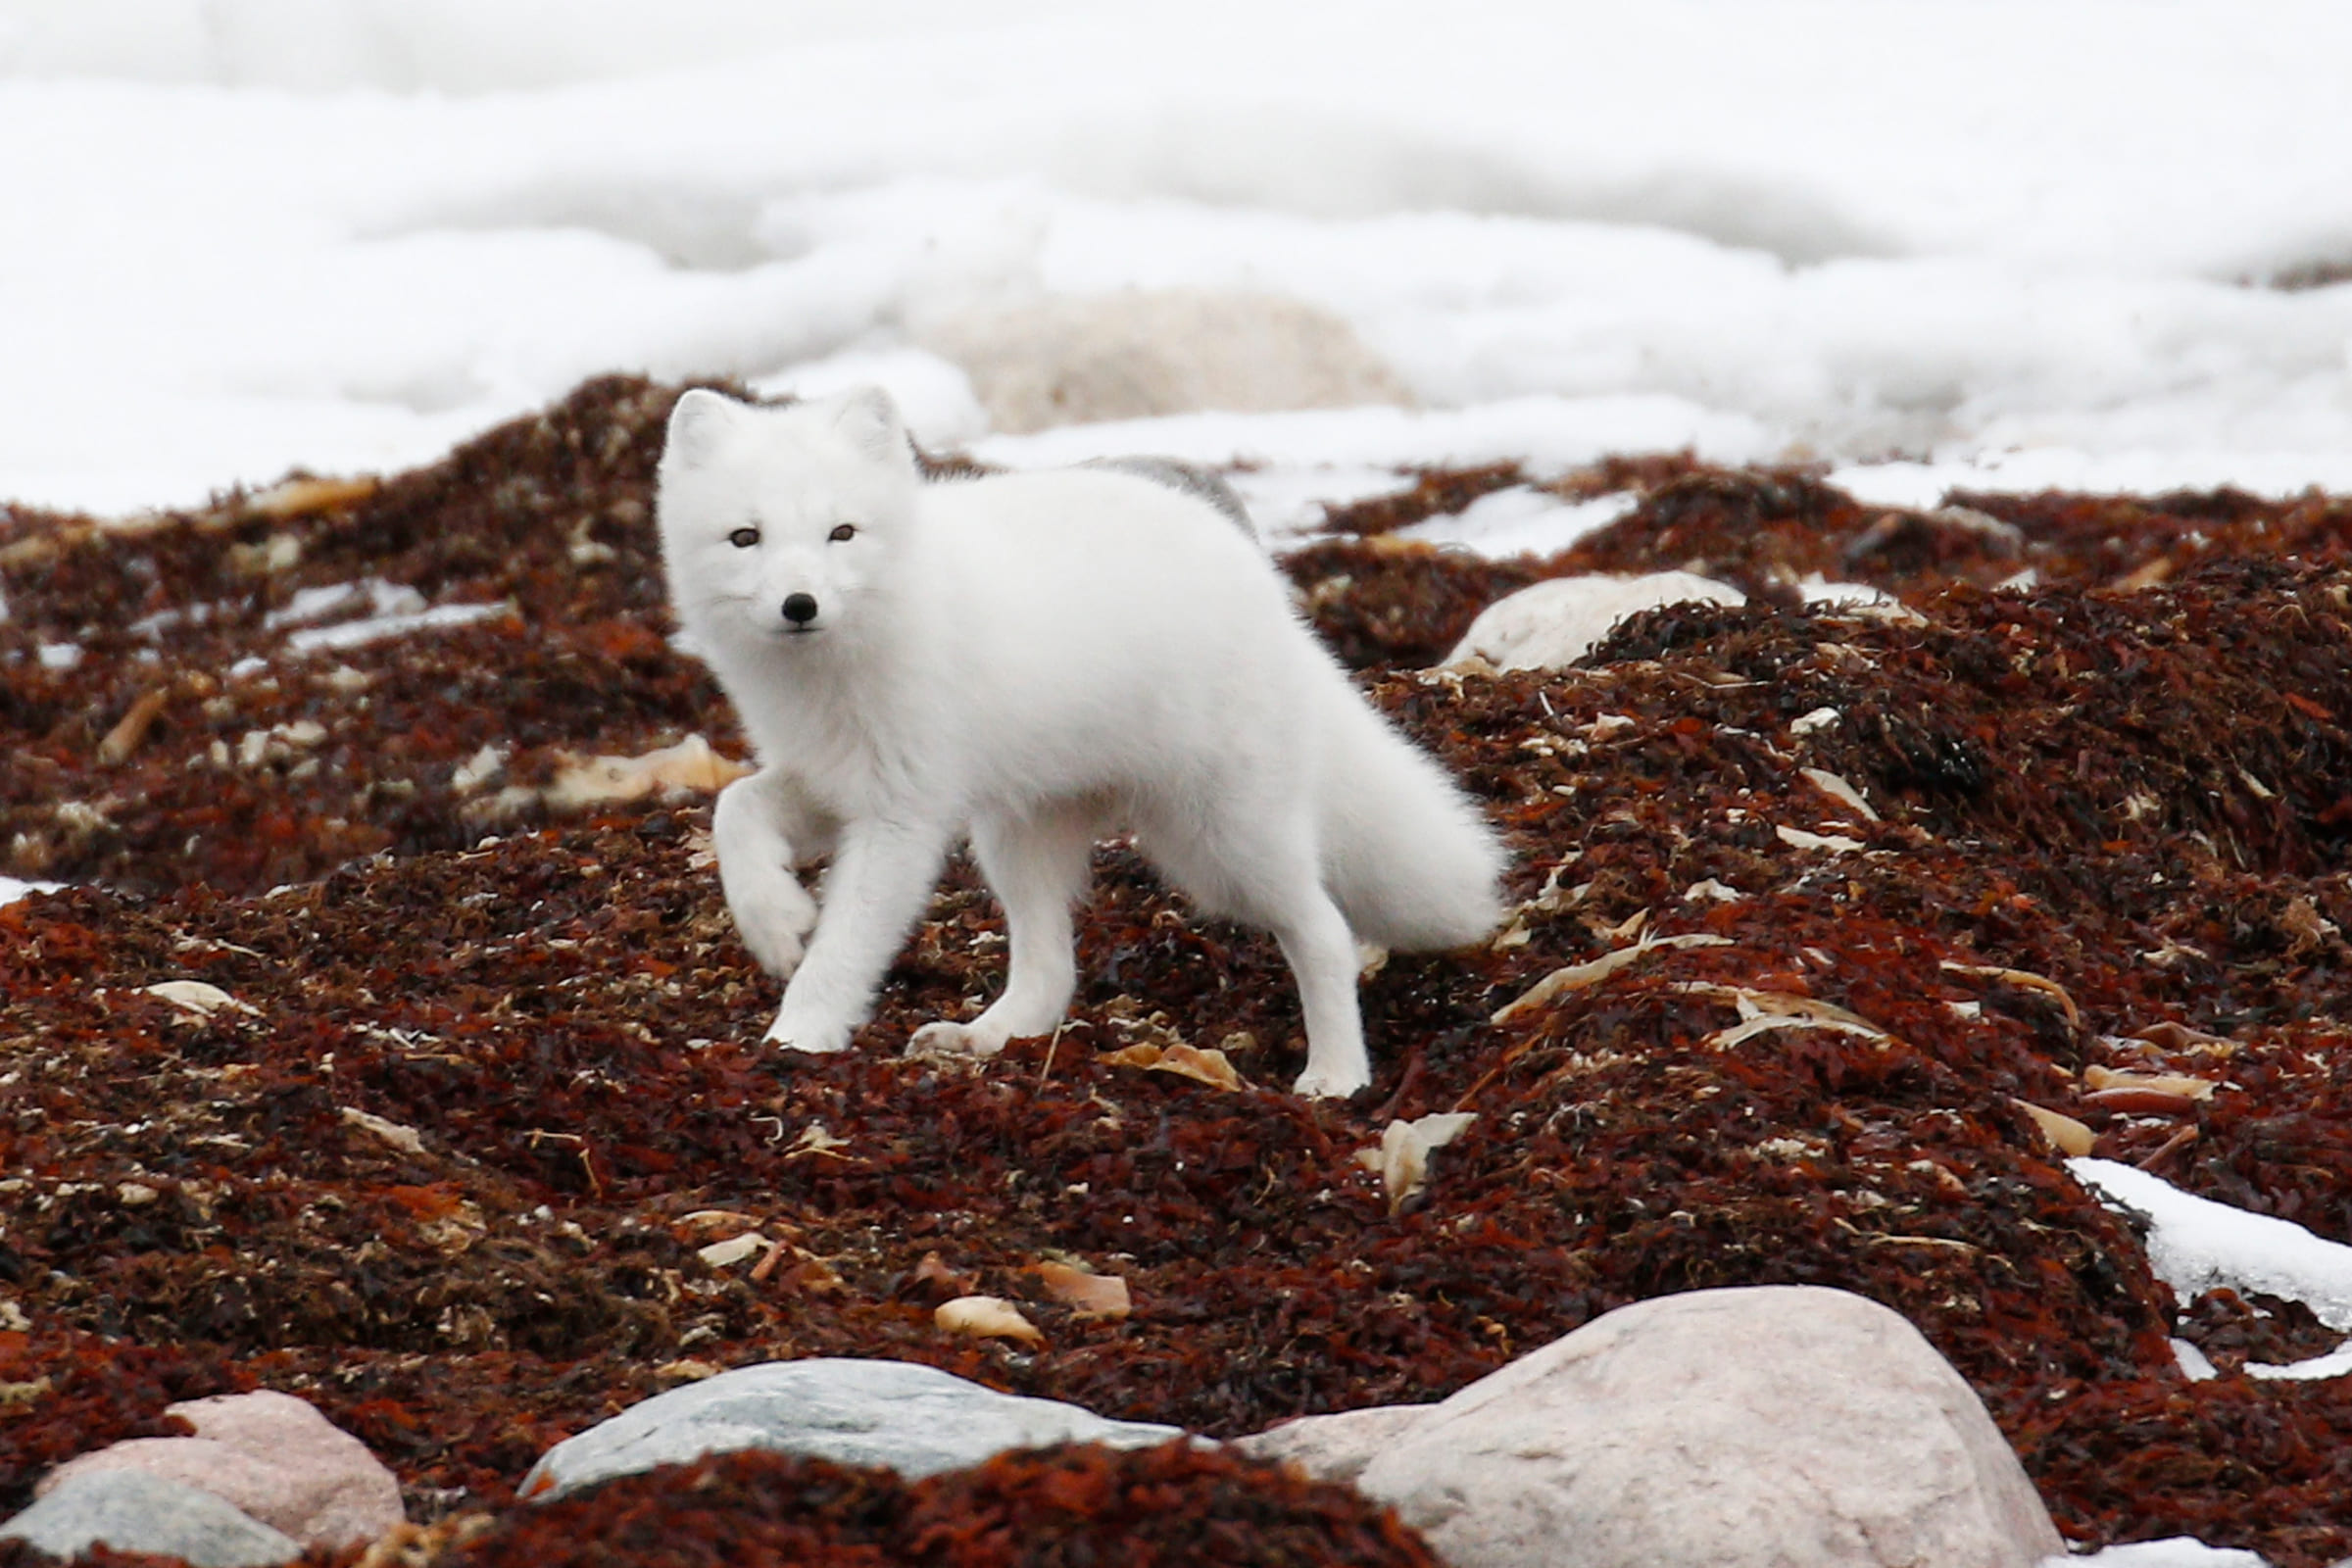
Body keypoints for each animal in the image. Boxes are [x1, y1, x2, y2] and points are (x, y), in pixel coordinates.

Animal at [662, 385, 1505, 1100]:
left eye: (842, 532)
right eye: (745, 537)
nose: (800, 605)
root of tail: (1266, 588)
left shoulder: (903, 813)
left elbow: (844, 946)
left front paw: (797, 1036)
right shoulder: (828, 776)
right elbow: (736, 809)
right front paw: (775, 924)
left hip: (1221, 841)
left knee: (1325, 931)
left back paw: (1335, 1075)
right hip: (1017, 835)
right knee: (1049, 973)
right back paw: (984, 1035)